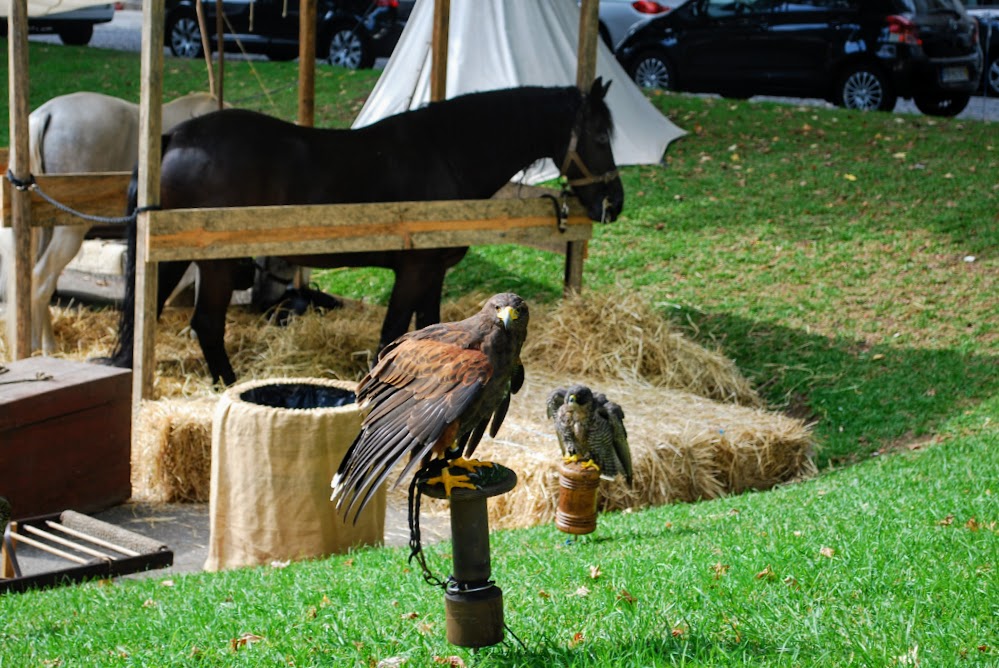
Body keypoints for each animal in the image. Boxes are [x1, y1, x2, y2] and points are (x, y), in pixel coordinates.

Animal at [111, 79, 624, 386]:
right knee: (206, 323)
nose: (614, 204)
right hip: (215, 262)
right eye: (600, 137)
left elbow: (430, 325)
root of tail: (175, 137)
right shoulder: (414, 269)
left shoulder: (434, 271)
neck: (447, 155)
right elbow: (392, 330)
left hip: (174, 255)